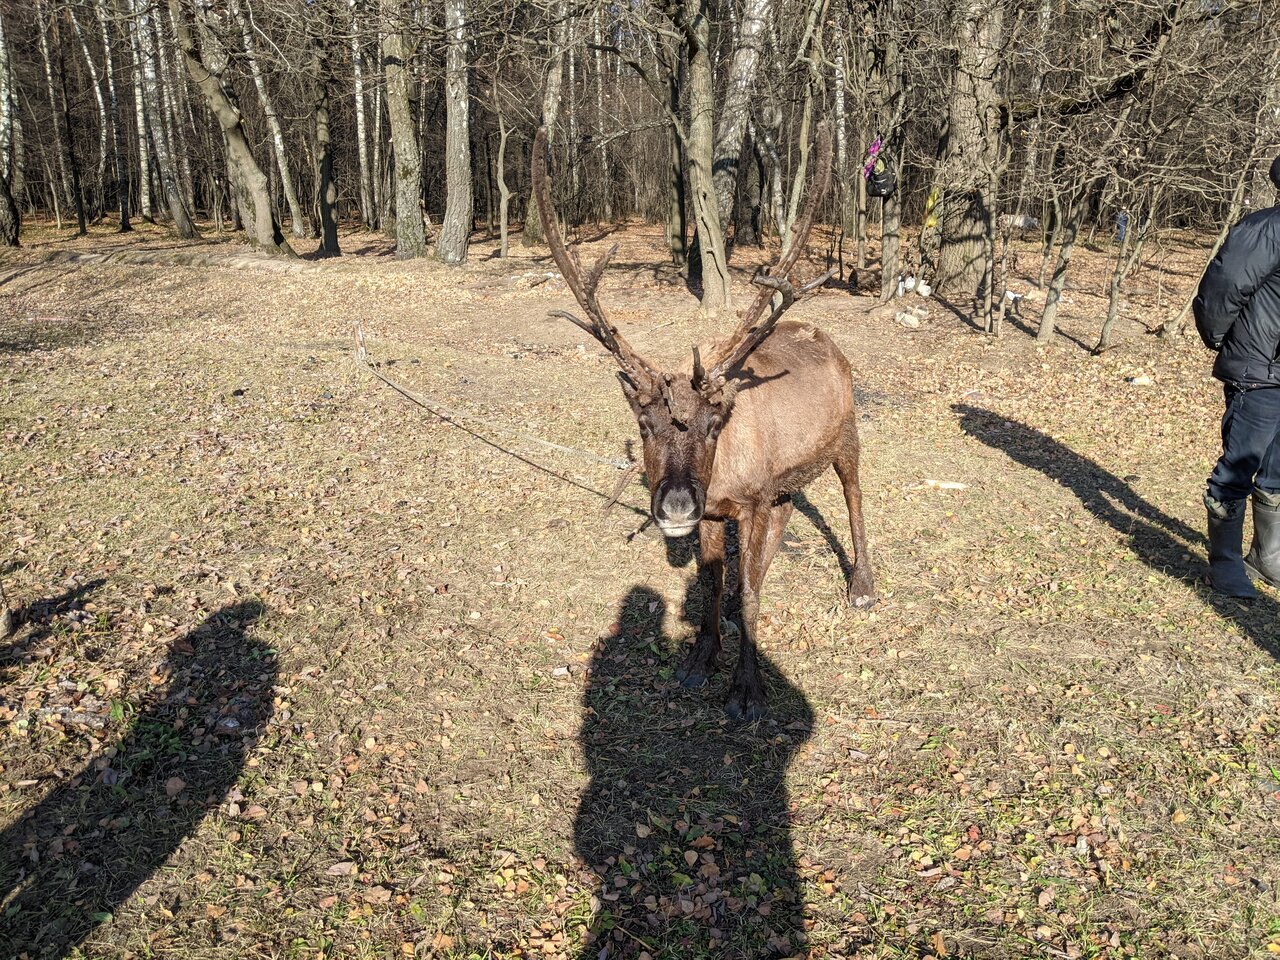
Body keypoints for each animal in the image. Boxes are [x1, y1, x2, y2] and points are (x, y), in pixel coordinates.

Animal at [532, 122, 874, 721]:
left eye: (715, 425)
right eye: (644, 426)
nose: (674, 505)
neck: (721, 476)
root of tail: (832, 344)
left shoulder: (748, 502)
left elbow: (752, 592)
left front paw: (747, 688)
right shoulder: (720, 510)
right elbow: (714, 584)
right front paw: (701, 657)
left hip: (847, 436)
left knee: (856, 496)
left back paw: (863, 584)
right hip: (784, 482)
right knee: (783, 521)